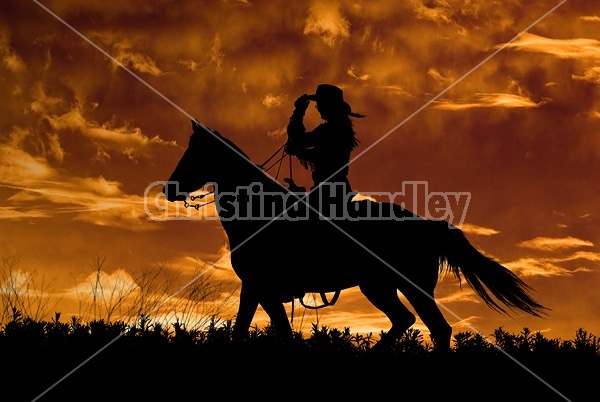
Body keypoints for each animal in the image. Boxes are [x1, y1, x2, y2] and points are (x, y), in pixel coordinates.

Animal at [163, 121, 548, 350]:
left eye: (194, 152)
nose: (169, 188)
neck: (259, 212)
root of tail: (431, 225)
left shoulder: (262, 288)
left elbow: (264, 333)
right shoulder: (259, 289)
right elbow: (259, 331)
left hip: (409, 286)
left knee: (436, 328)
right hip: (380, 286)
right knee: (408, 321)